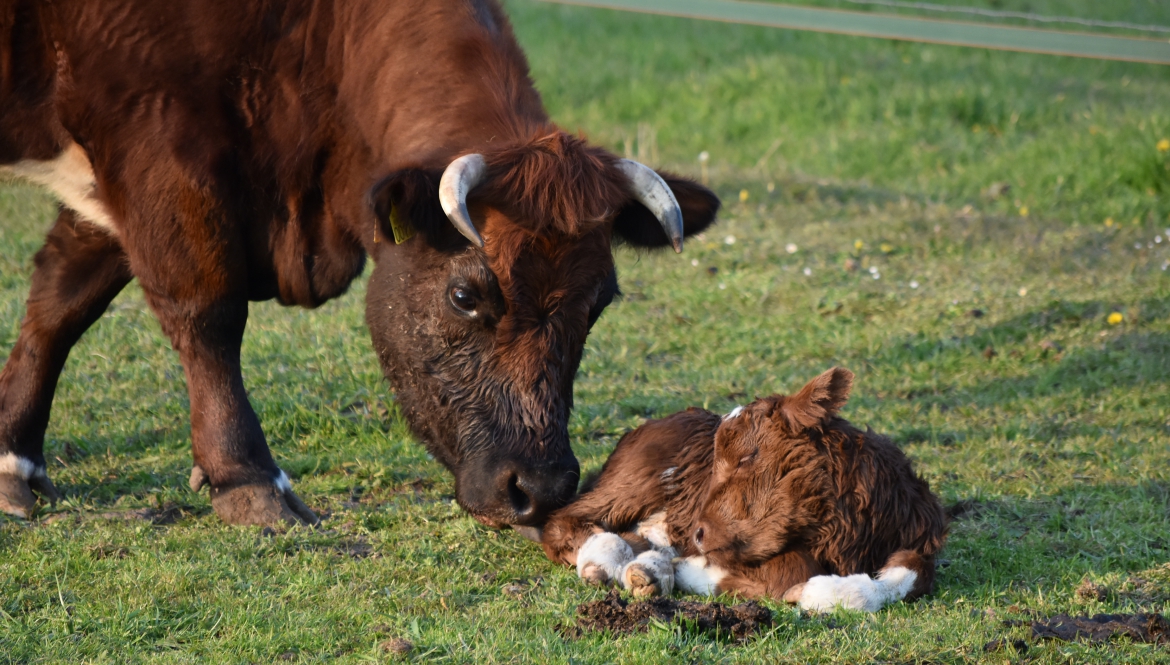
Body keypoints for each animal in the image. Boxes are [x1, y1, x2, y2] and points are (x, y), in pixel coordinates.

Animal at [0, 2, 716, 526]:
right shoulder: (161, 153)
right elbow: (208, 312)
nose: (540, 487)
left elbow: (60, 303)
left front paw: (13, 457)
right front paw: (247, 478)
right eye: (465, 296)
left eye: (598, 303)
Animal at [538, 369, 950, 613]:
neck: (842, 538)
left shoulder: (920, 534)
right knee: (565, 520)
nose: (698, 533)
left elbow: (913, 573)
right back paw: (608, 560)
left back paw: (650, 569)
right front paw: (694, 571)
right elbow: (791, 572)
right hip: (637, 479)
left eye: (747, 456)